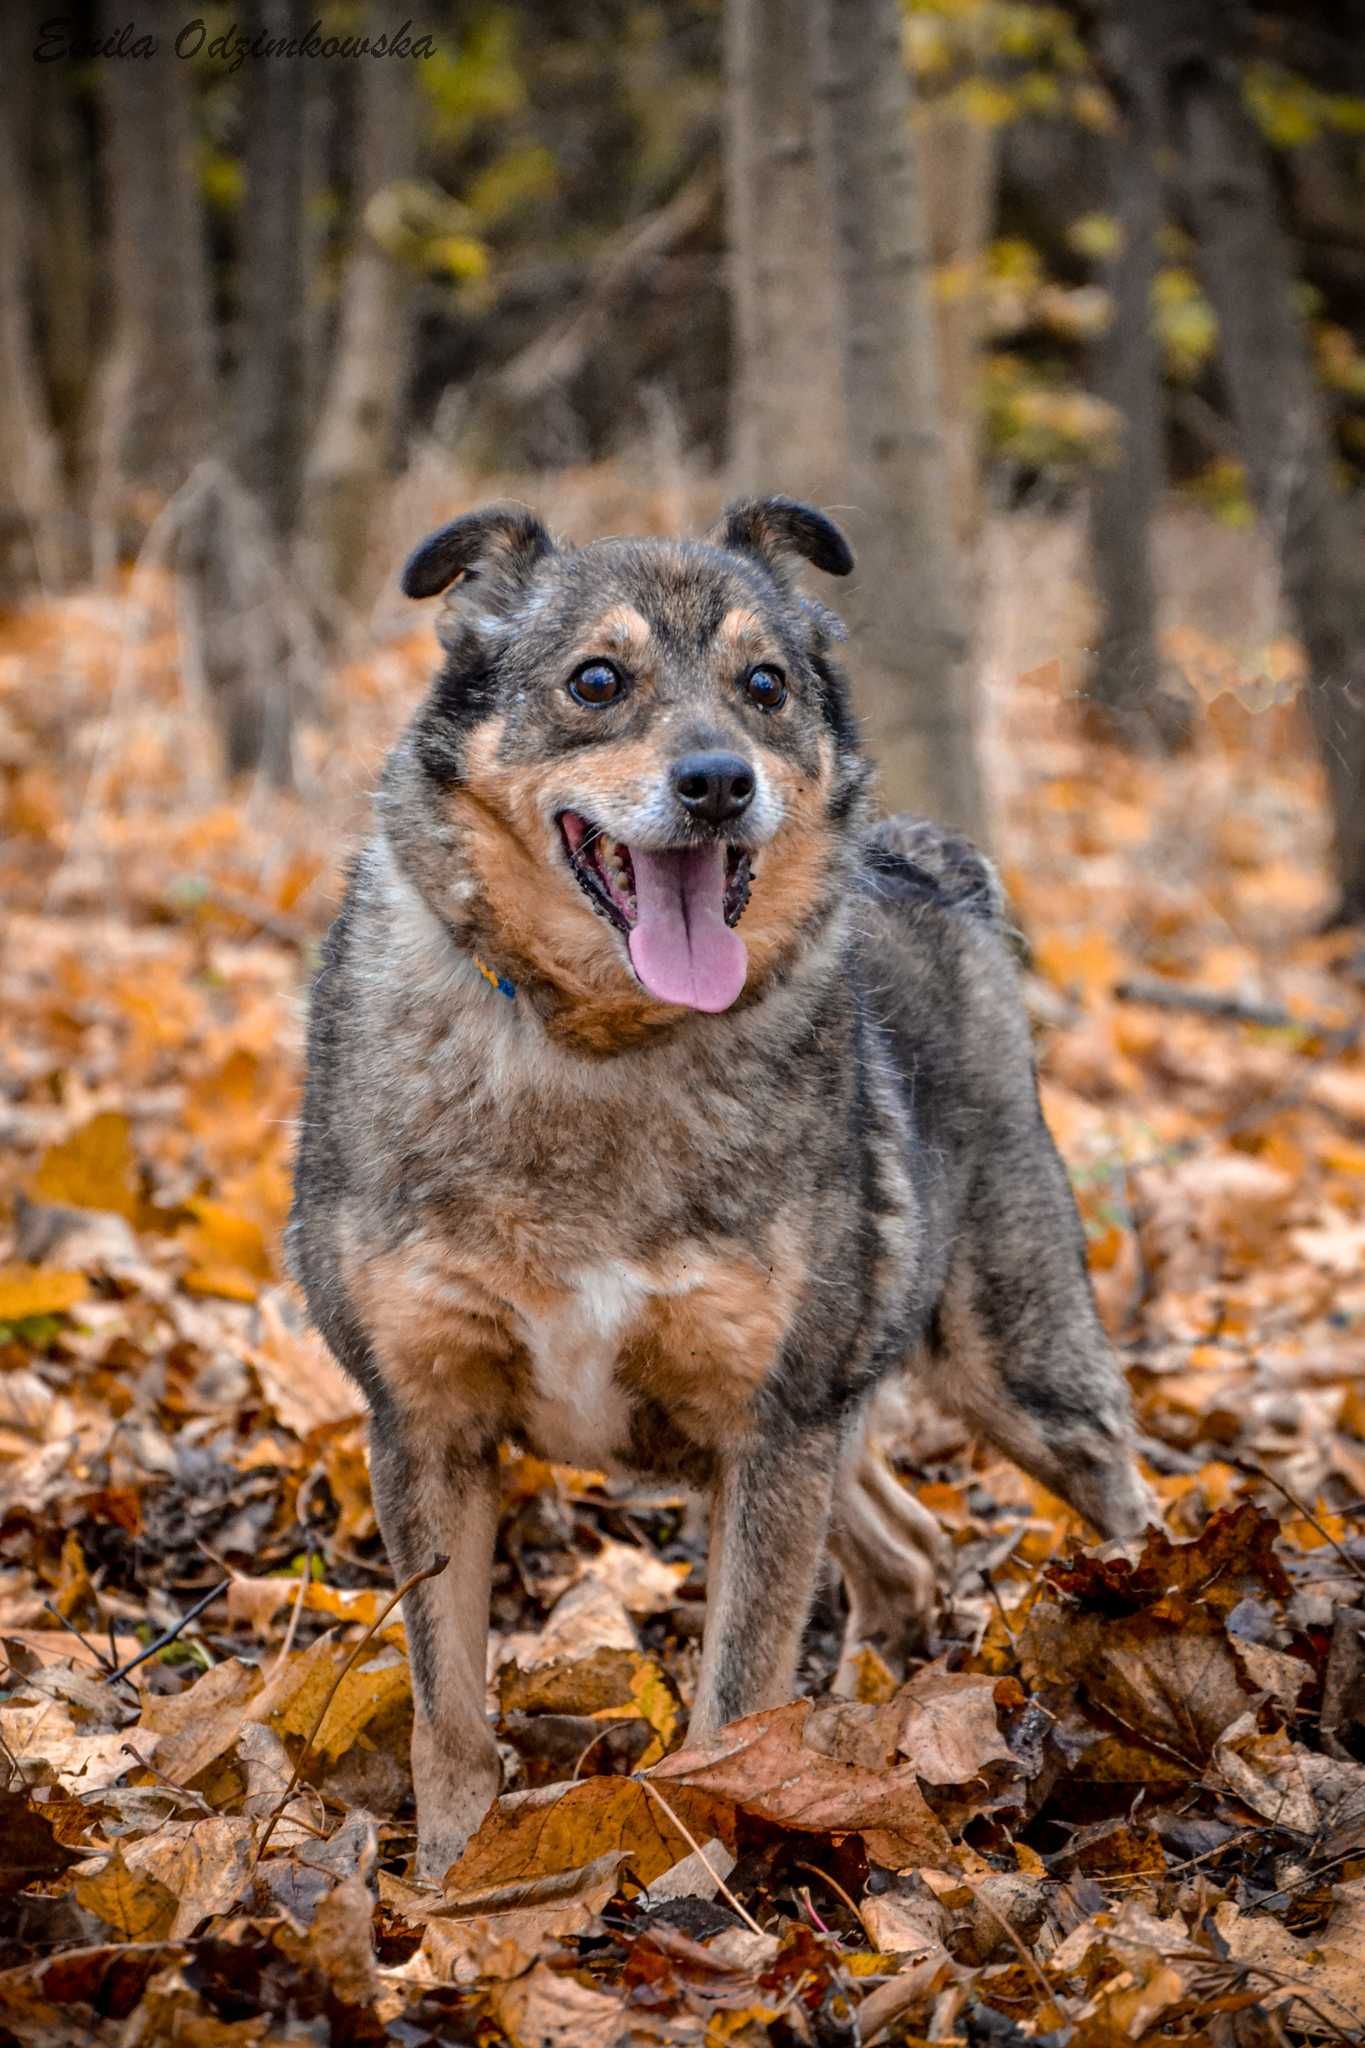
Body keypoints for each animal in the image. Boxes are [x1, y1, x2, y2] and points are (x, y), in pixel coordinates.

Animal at [290, 491, 1154, 1875]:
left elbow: (731, 1702)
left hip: (1006, 1366)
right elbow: (449, 1715)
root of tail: (929, 861)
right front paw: (446, 1889)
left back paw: (1164, 1629)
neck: (599, 1045)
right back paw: (869, 1724)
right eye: (596, 680)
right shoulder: (429, 1422)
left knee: (1122, 1493)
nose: (716, 783)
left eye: (765, 686)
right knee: (909, 1554)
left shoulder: (770, 1426)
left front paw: (696, 1870)